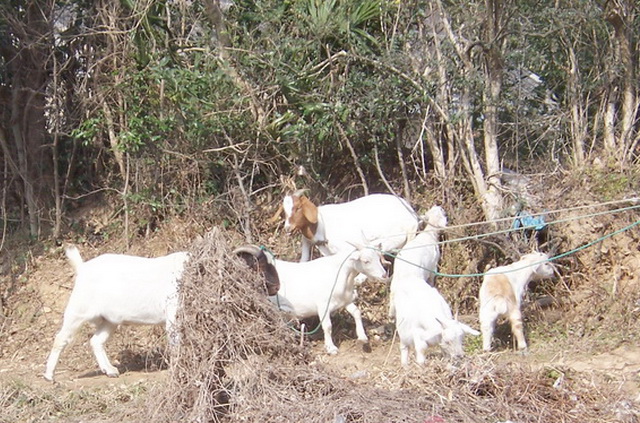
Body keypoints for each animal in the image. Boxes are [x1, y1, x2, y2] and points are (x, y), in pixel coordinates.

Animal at [42, 243, 278, 382]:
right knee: (60, 339)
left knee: (96, 341)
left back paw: (110, 370)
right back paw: (49, 375)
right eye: (259, 265)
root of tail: (82, 267)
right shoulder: (173, 316)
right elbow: (176, 343)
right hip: (77, 312)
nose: (276, 287)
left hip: (110, 321)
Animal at [282, 194, 418, 264]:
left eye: (298, 208)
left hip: (391, 239)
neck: (322, 224)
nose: (288, 228)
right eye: (284, 210)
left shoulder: (347, 248)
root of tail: (413, 219)